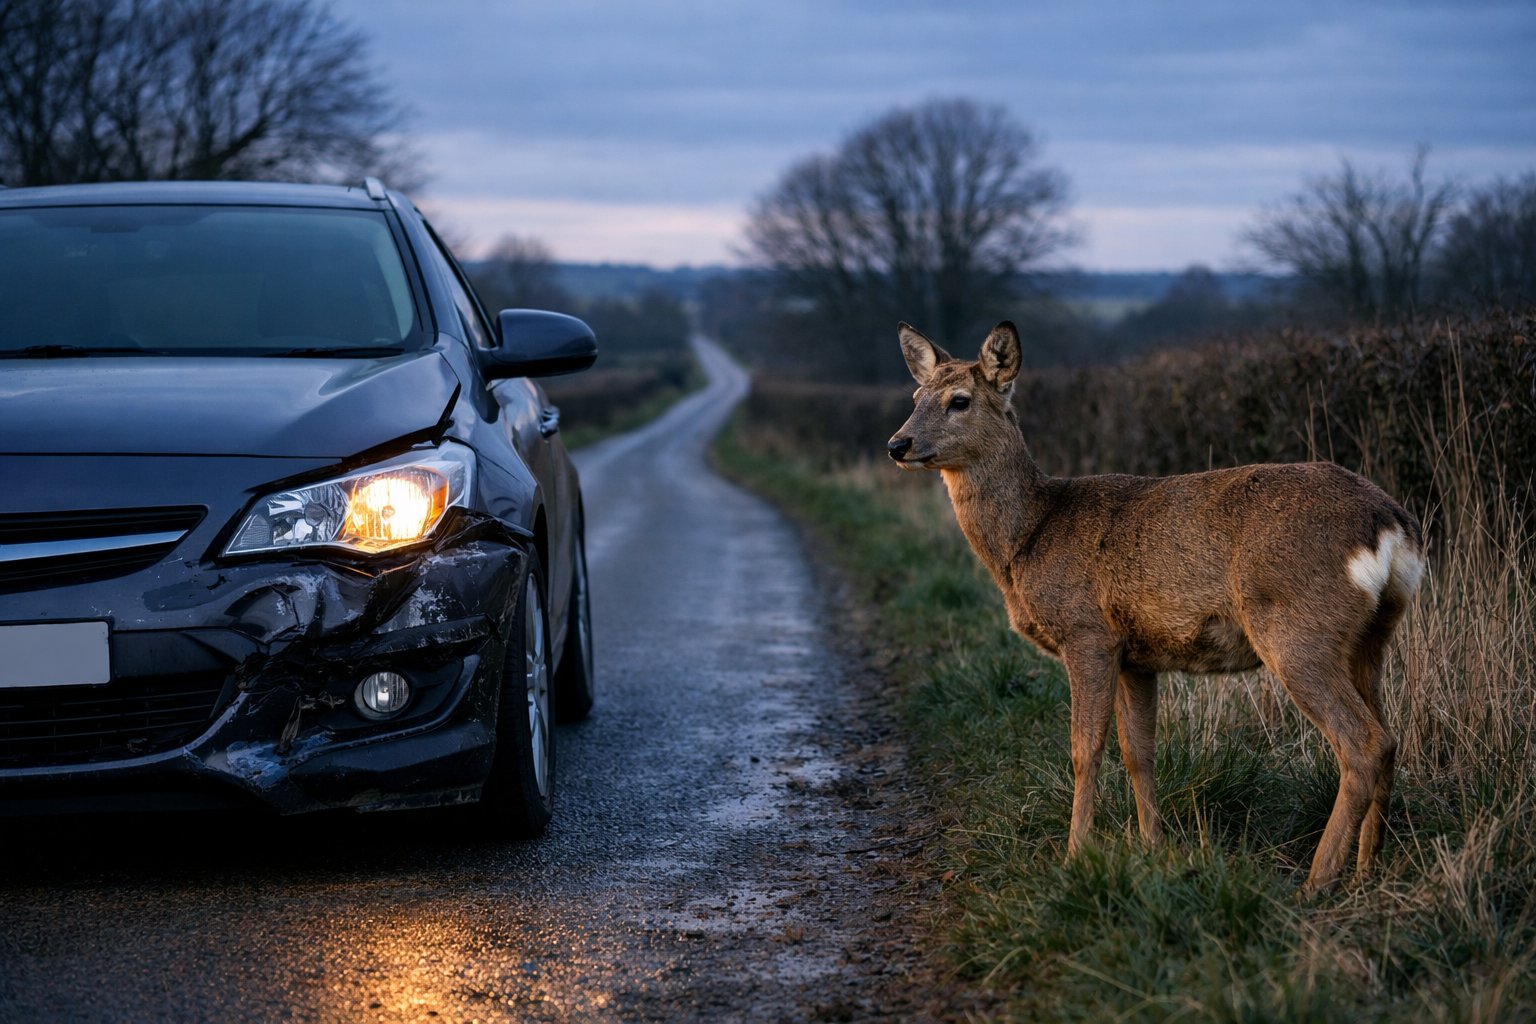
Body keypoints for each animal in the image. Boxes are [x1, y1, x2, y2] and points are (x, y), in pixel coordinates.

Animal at [886, 320, 1425, 891]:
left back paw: (1317, 880)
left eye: (959, 400)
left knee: (1363, 744)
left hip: (1298, 629)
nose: (898, 444)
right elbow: (1139, 752)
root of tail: (1392, 525)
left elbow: (1085, 749)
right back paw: (1366, 870)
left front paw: (1076, 857)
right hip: (1371, 636)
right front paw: (1153, 848)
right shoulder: (1137, 656)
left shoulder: (1088, 633)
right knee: (1388, 738)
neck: (1031, 536)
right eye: (916, 397)